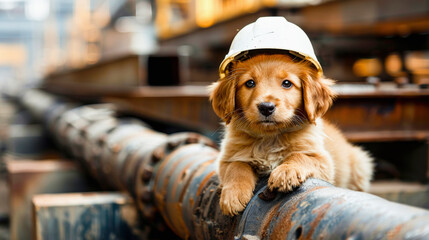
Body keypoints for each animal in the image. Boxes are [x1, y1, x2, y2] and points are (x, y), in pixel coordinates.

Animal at [208, 54, 372, 216]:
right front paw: (233, 195)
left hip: (360, 163)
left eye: (287, 83)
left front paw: (286, 172)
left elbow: (300, 156)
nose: (266, 107)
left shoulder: (323, 161)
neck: (270, 137)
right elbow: (236, 166)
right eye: (249, 83)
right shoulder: (226, 159)